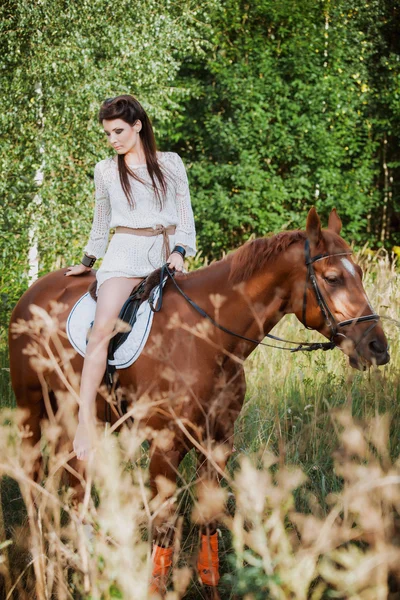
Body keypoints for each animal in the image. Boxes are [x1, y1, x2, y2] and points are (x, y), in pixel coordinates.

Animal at [7, 209, 390, 592]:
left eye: (360, 273)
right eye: (333, 278)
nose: (378, 348)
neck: (207, 338)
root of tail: (33, 293)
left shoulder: (216, 445)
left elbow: (209, 529)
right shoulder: (165, 448)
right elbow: (163, 532)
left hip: (74, 421)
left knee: (72, 486)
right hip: (31, 415)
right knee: (33, 485)